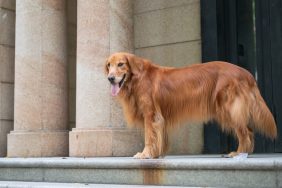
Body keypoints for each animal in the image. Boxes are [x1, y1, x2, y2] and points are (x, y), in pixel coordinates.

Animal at [104, 51, 276, 159]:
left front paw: (145, 154)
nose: (110, 78)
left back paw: (239, 153)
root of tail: (247, 73)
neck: (137, 78)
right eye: (109, 65)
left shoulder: (151, 115)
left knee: (245, 132)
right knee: (249, 130)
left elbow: (150, 137)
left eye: (121, 64)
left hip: (228, 108)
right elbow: (159, 138)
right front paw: (156, 154)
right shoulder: (160, 118)